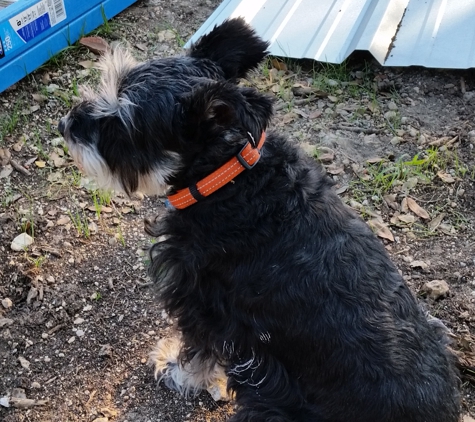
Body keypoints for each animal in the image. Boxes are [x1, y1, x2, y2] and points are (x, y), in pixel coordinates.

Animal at [56, 18, 462, 420]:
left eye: (123, 124)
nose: (64, 125)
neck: (228, 179)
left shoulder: (202, 302)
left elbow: (199, 349)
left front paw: (176, 371)